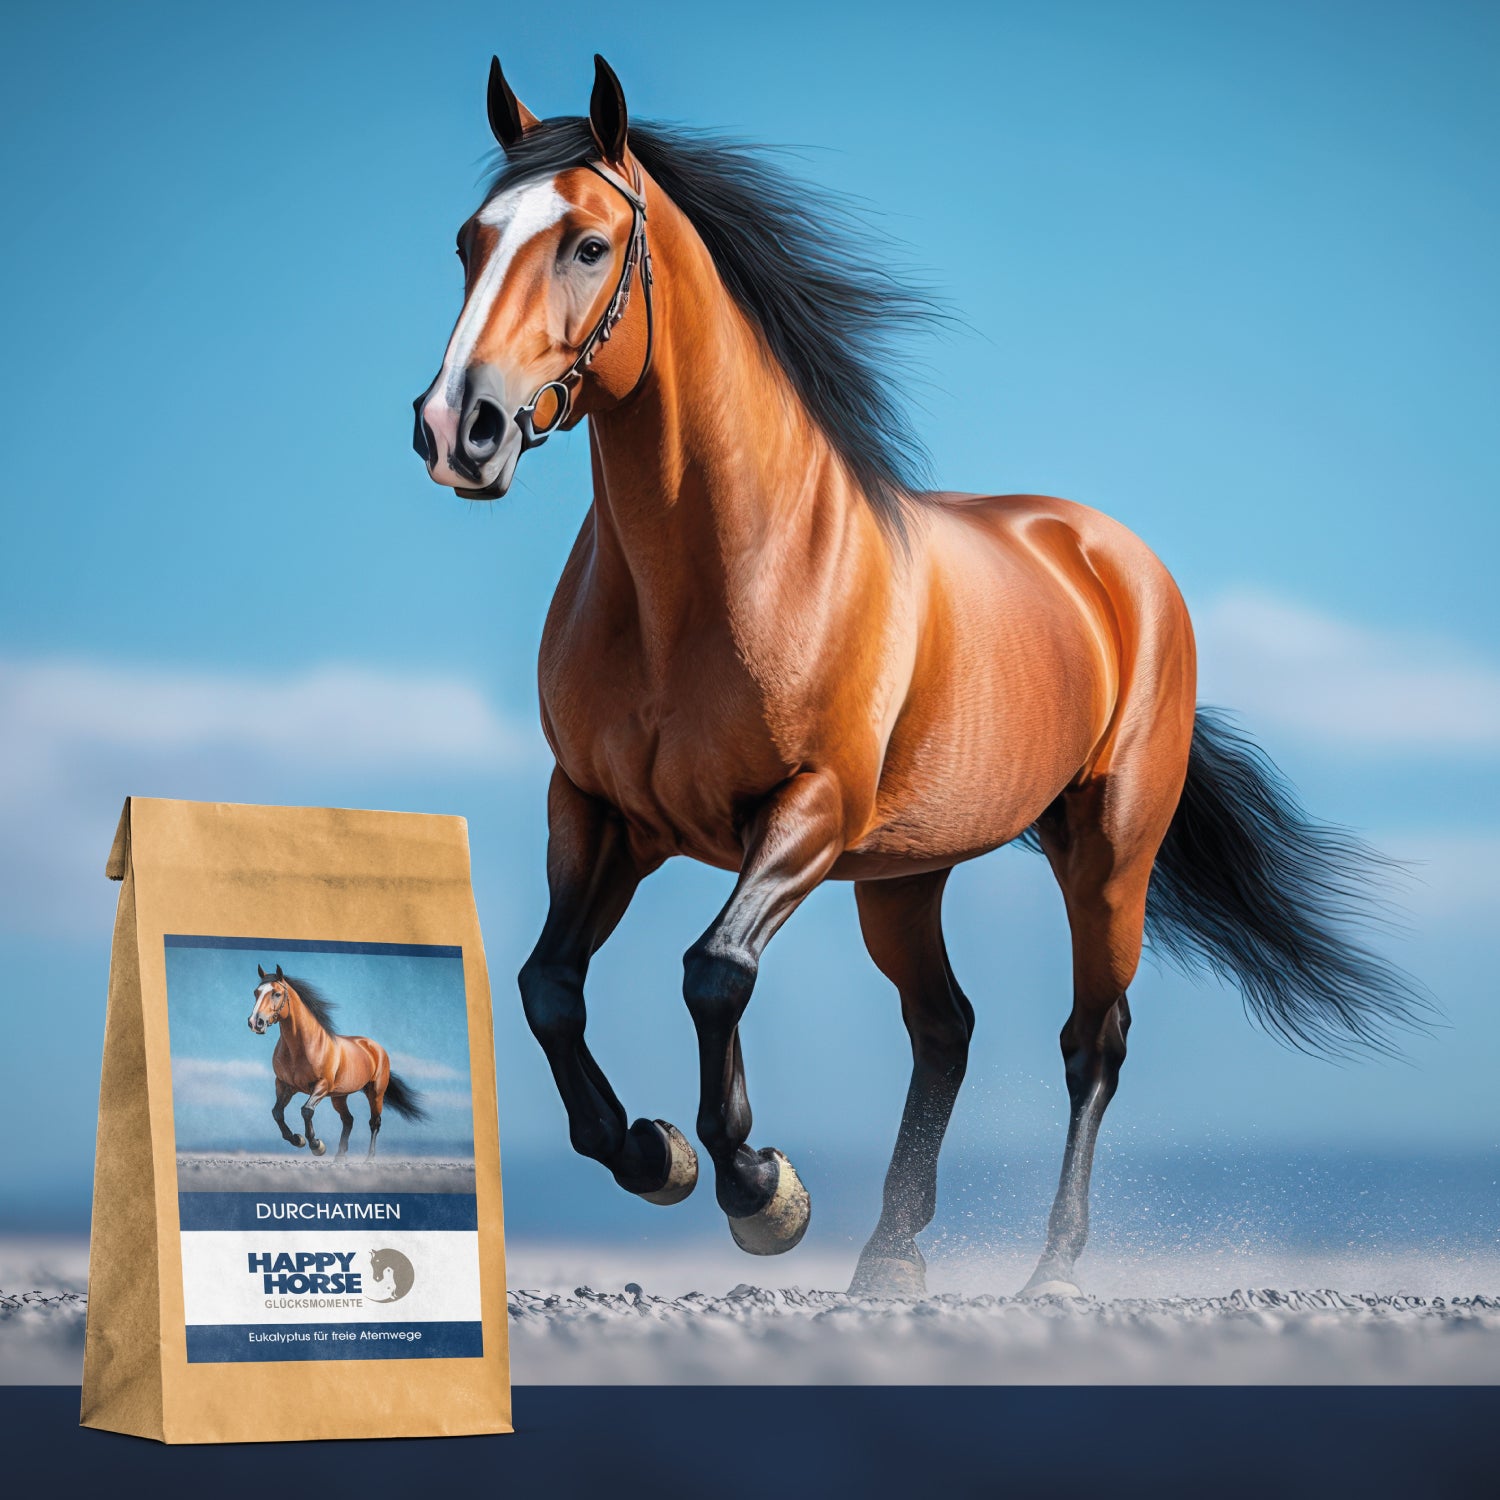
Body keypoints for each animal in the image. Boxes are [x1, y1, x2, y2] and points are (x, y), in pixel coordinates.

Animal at [247, 965, 428, 1158]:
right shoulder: (284, 1085)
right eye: (256, 992)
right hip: (340, 1096)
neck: (302, 1047)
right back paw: (340, 1157)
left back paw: (369, 1158)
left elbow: (306, 1111)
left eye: (277, 993)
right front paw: (297, 1139)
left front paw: (317, 1145)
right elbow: (277, 1113)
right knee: (348, 1120)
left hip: (375, 1092)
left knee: (374, 1122)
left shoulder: (322, 1085)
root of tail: (376, 1048)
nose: (255, 1022)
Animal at [412, 56, 1427, 1296]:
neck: (701, 584)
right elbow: (548, 986)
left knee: (1092, 1042)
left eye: (589, 245)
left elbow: (713, 972)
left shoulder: (805, 811)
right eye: (470, 240)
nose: (458, 429)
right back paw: (890, 1255)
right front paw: (655, 1155)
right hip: (904, 874)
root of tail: (1115, 560)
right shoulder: (601, 810)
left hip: (1106, 853)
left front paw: (760, 1190)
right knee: (946, 1029)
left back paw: (1050, 1269)